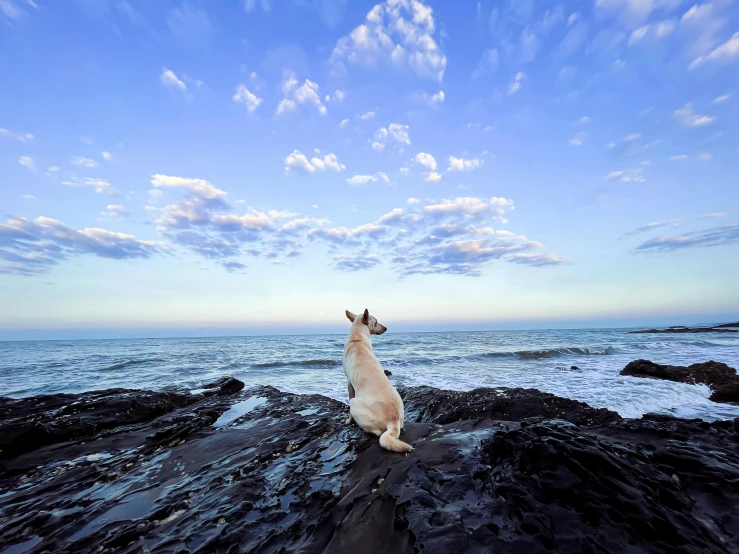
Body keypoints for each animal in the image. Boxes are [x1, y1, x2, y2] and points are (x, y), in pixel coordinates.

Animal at [344, 308, 414, 450]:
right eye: (376, 322)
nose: (386, 328)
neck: (357, 340)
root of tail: (393, 421)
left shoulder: (349, 383)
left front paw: (349, 421)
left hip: (354, 403)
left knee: (376, 432)